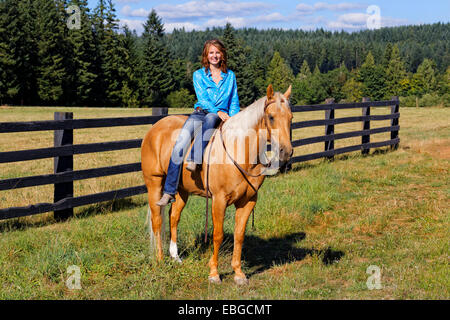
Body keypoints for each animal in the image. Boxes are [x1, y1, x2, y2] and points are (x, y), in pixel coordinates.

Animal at [142, 85, 294, 284]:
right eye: (271, 117)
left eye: (291, 117)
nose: (286, 152)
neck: (239, 150)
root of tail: (155, 129)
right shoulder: (219, 200)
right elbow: (218, 235)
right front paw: (214, 273)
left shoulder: (248, 201)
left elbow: (239, 235)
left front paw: (238, 273)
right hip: (154, 183)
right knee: (157, 220)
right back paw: (160, 259)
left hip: (182, 191)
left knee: (173, 217)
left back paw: (175, 257)